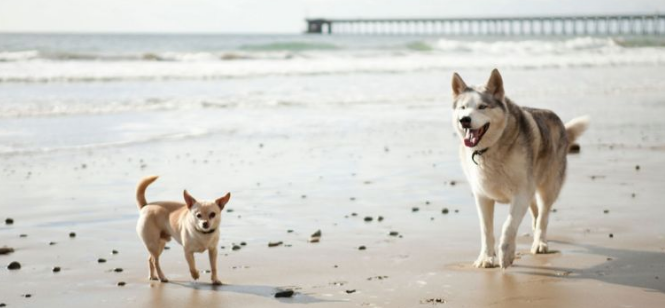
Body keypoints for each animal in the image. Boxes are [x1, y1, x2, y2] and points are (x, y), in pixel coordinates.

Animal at [452, 68, 588, 268]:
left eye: (482, 107)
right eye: (462, 108)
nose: (464, 120)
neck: (488, 150)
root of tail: (560, 122)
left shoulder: (520, 193)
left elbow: (509, 225)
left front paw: (506, 253)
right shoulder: (482, 196)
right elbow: (486, 229)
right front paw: (486, 257)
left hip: (549, 187)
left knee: (544, 216)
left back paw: (540, 243)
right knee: (536, 211)